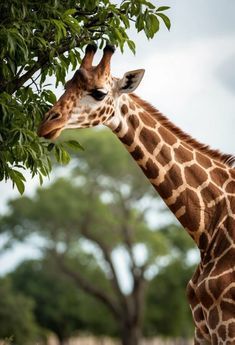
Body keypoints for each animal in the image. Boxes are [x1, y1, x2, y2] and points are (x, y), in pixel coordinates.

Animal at [37, 44, 234, 342]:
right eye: (66, 85)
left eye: (99, 92)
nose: (47, 124)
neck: (208, 230)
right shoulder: (202, 330)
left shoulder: (226, 326)